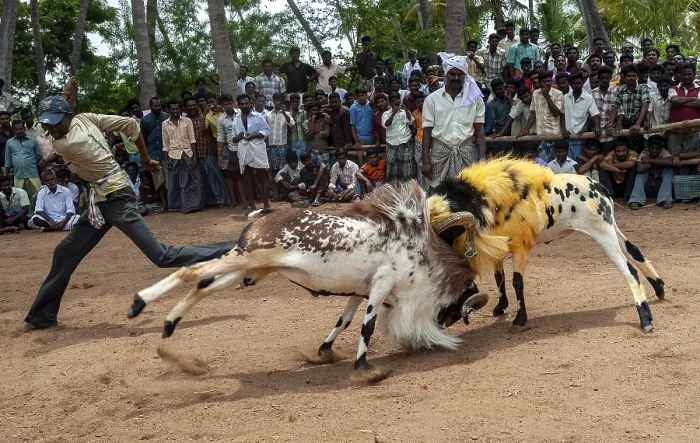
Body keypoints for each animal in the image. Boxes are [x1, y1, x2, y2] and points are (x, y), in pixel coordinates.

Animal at [126, 181, 504, 381]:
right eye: (460, 309)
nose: (448, 321)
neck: (422, 253)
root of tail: (263, 215)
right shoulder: (382, 285)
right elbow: (366, 326)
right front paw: (364, 367)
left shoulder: (360, 290)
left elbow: (344, 319)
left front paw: (325, 351)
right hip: (248, 260)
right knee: (189, 272)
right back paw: (138, 304)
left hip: (248, 272)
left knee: (201, 286)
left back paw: (169, 325)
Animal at [429, 157, 665, 332]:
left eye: (447, 234)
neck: (479, 201)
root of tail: (599, 187)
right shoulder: (496, 246)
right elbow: (499, 278)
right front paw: (500, 308)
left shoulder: (519, 247)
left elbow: (517, 282)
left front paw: (520, 319)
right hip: (611, 227)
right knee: (635, 251)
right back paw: (660, 289)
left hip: (603, 232)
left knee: (629, 271)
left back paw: (645, 319)